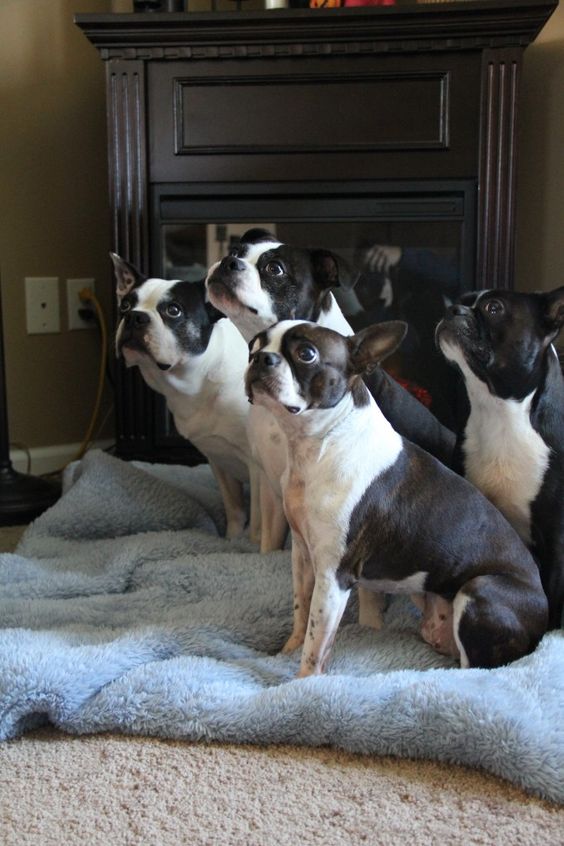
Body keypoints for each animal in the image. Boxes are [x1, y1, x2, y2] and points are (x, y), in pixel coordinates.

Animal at [112, 255, 258, 540]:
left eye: (173, 311)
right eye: (124, 305)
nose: (134, 317)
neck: (195, 383)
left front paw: (253, 546)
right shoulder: (219, 461)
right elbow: (234, 509)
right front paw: (232, 540)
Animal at [246, 322, 548, 680]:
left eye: (306, 354)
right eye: (253, 345)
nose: (260, 358)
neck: (319, 445)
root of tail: (544, 615)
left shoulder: (334, 575)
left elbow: (316, 641)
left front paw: (301, 684)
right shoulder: (303, 554)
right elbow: (301, 608)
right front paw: (287, 649)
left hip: (479, 591)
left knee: (473, 669)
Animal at [438, 288, 564, 628]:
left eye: (494, 308)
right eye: (460, 300)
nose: (451, 310)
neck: (498, 411)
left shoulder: (557, 537)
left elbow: (554, 593)